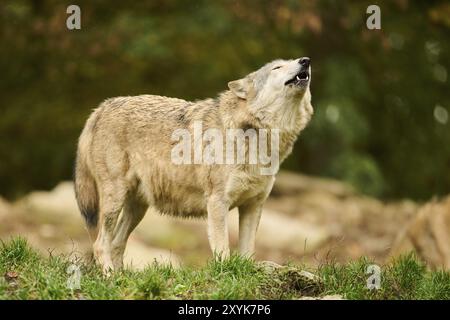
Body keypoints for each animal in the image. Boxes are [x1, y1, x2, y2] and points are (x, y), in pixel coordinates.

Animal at [74, 57, 312, 270]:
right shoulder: (217, 202)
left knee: (116, 243)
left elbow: (247, 253)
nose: (306, 60)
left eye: (292, 61)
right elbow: (223, 251)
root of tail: (101, 107)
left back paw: (121, 279)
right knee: (100, 244)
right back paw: (109, 277)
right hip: (114, 200)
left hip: (137, 208)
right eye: (277, 67)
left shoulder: (253, 205)